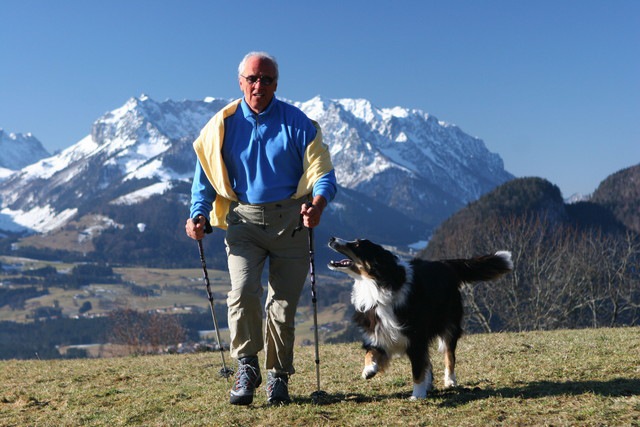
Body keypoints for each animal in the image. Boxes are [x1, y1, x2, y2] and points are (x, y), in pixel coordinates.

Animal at [328, 237, 512, 402]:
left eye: (357, 244)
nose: (332, 238)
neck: (379, 284)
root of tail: (445, 264)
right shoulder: (377, 330)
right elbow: (371, 352)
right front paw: (369, 369)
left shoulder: (416, 338)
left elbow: (417, 368)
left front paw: (417, 394)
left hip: (449, 324)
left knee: (449, 354)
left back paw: (449, 380)